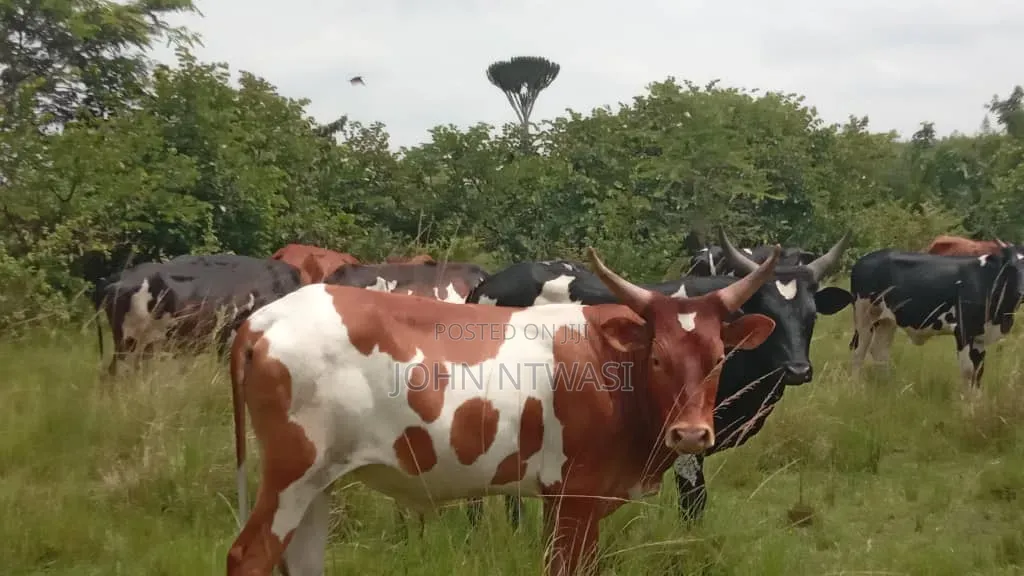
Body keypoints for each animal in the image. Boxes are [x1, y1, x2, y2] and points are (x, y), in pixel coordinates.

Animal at [849, 246, 1023, 393]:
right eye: (1012, 267)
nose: (1021, 292)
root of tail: (864, 259)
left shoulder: (980, 336)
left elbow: (978, 371)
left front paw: (976, 401)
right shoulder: (963, 330)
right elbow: (968, 370)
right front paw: (966, 404)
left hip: (887, 321)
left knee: (880, 351)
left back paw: (887, 385)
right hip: (864, 315)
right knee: (859, 352)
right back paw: (856, 387)